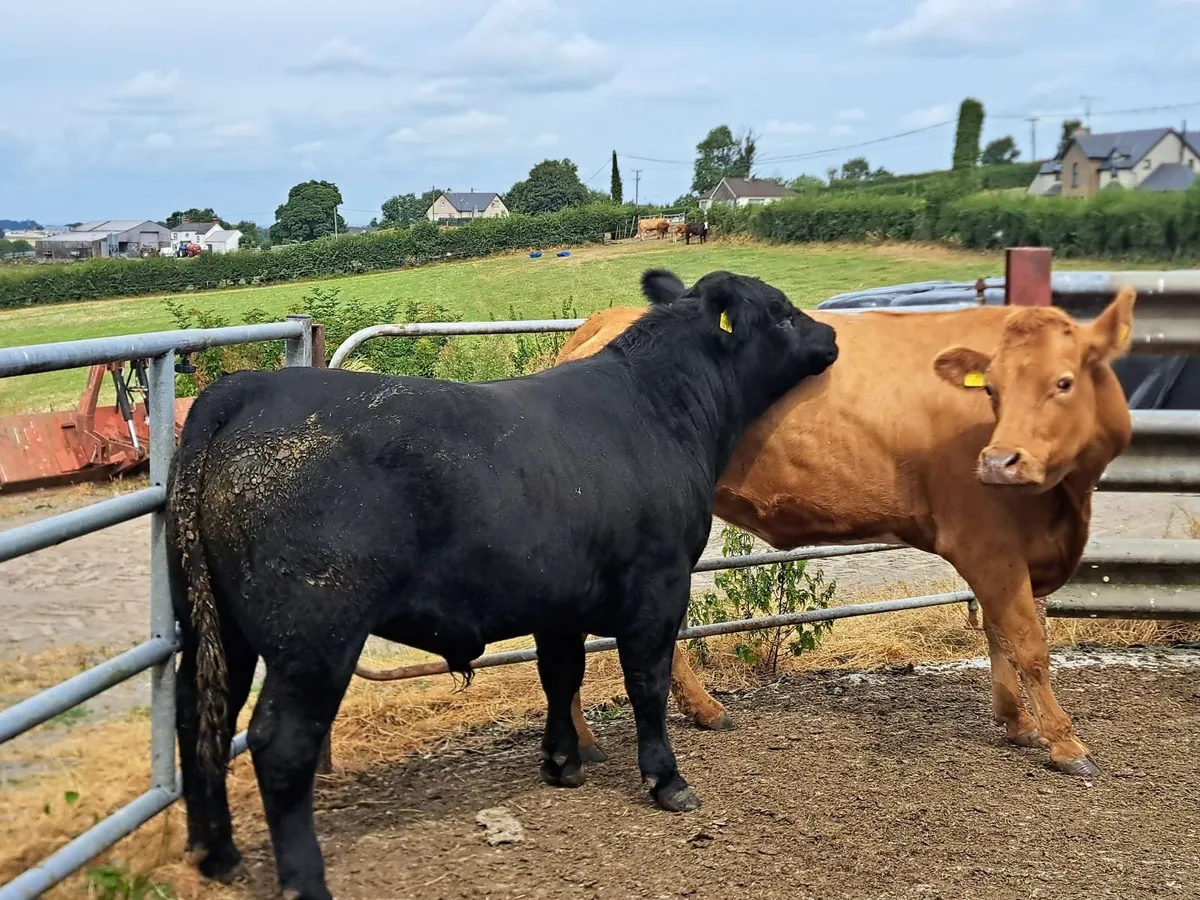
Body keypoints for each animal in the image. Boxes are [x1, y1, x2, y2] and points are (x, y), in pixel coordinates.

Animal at [166, 268, 839, 900]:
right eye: (780, 311)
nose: (831, 335)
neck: (660, 407)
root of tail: (248, 388)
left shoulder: (560, 602)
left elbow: (560, 676)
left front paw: (563, 762)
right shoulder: (658, 586)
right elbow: (646, 684)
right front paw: (667, 780)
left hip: (216, 626)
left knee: (199, 716)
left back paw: (215, 853)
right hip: (314, 635)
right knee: (278, 743)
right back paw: (304, 879)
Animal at [556, 282, 1137, 779]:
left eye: (1063, 382)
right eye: (991, 389)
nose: (999, 463)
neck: (1065, 504)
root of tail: (614, 320)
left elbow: (1000, 635)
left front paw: (1016, 722)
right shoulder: (987, 543)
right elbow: (1028, 644)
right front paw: (1065, 743)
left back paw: (703, 711)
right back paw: (582, 742)